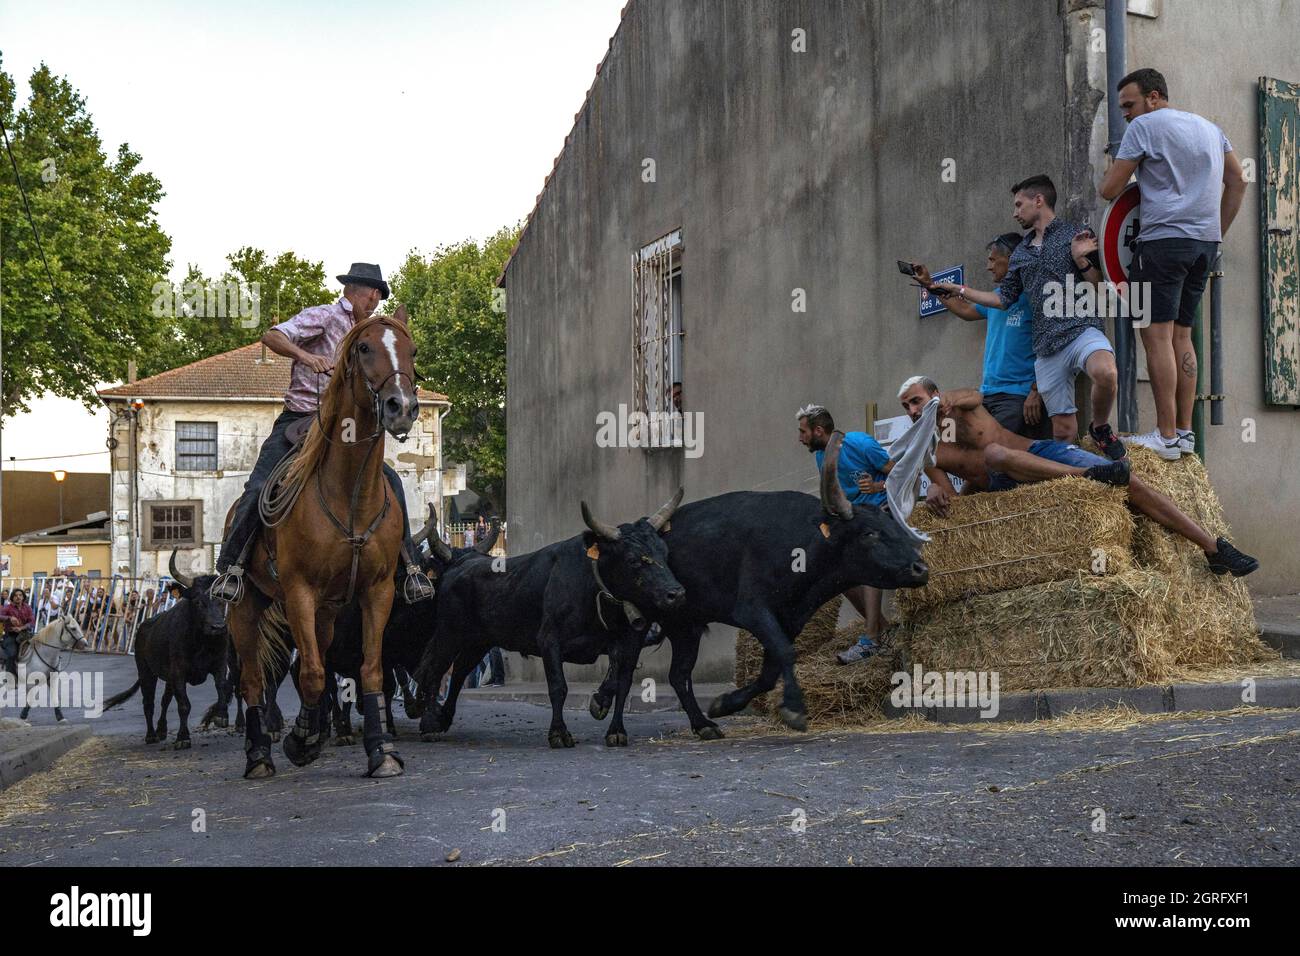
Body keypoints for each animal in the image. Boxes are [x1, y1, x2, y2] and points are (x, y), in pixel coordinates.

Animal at [224, 306, 421, 780]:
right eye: (364, 347)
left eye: (412, 351)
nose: (402, 407)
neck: (349, 494)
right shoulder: (299, 592)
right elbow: (312, 674)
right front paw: (300, 740)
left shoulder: (377, 591)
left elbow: (369, 671)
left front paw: (380, 752)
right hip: (246, 605)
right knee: (253, 679)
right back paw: (259, 755)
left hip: (328, 610)